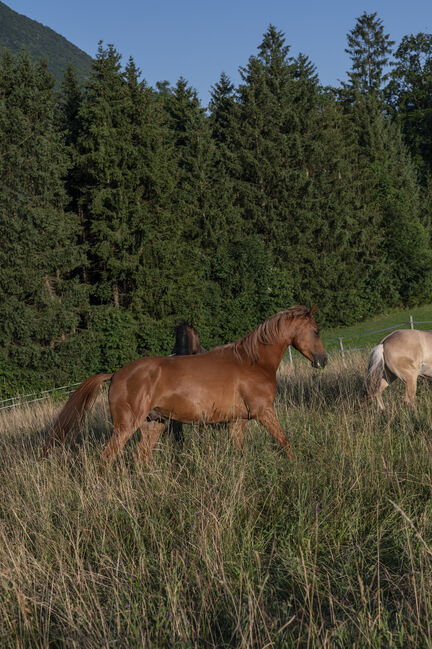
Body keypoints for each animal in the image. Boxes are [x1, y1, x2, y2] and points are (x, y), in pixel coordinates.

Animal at [43, 306, 328, 464]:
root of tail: (115, 375)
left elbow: (240, 452)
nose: (323, 360)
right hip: (126, 427)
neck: (252, 362)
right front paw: (297, 468)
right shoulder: (264, 412)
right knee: (107, 458)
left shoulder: (237, 421)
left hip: (153, 424)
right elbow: (285, 442)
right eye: (316, 331)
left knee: (141, 458)